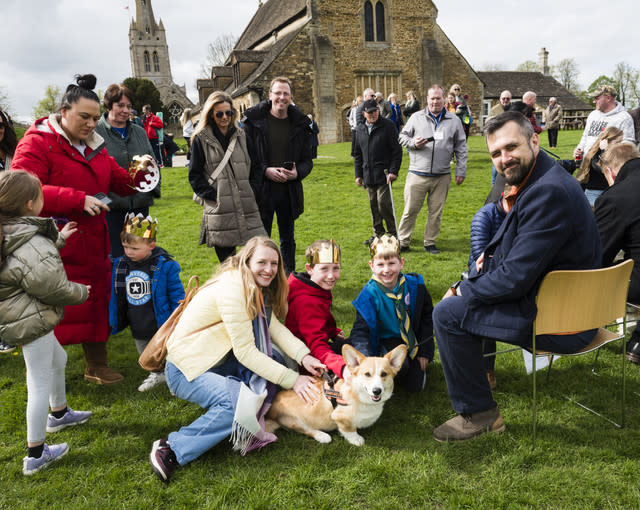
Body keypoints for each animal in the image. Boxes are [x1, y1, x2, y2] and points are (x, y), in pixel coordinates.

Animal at [266, 342, 408, 446]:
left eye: (384, 374)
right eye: (367, 374)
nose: (377, 391)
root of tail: (270, 411)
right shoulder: (339, 417)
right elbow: (349, 430)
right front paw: (356, 439)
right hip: (293, 421)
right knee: (306, 430)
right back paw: (323, 436)